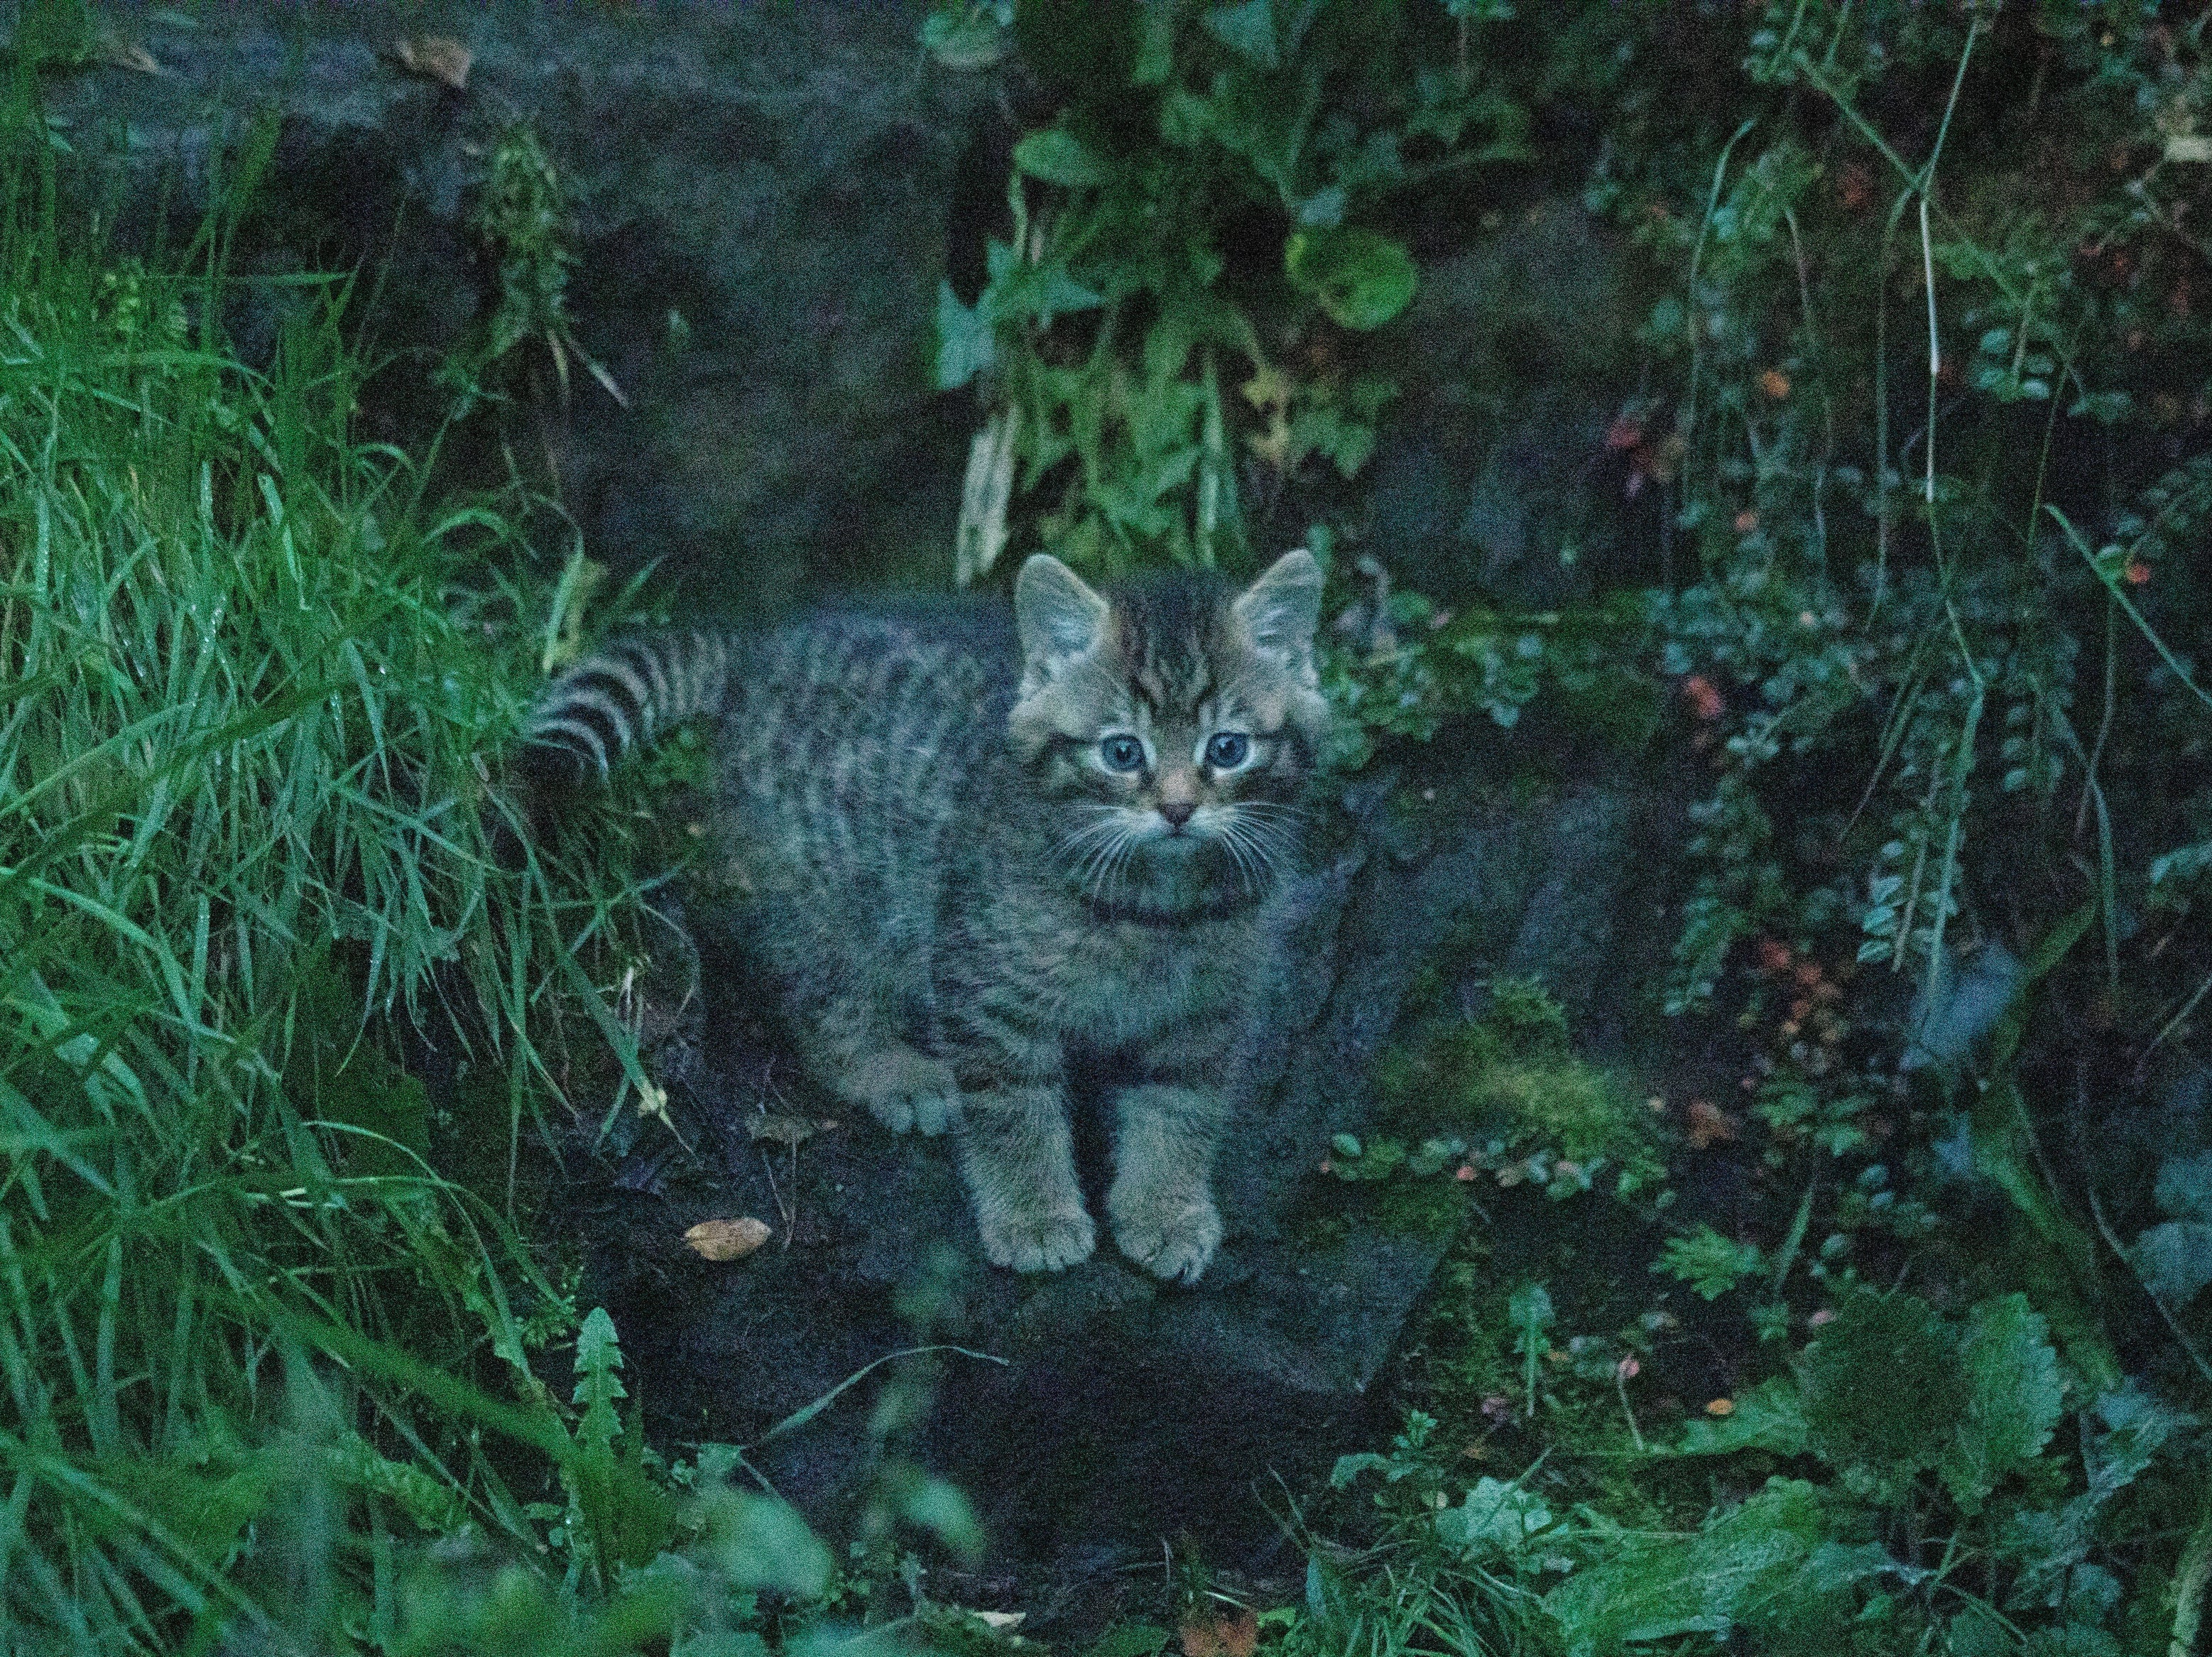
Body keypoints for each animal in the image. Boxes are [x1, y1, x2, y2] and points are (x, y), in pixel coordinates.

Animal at [530, 548, 1327, 1283]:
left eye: (1227, 748)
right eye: (1122, 751)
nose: (1177, 808)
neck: (1154, 906)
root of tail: (758, 656)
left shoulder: (1206, 1016)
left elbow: (1178, 1110)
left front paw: (1165, 1208)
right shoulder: (987, 993)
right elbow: (1011, 1109)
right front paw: (1034, 1215)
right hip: (826, 895)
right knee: (823, 999)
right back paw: (890, 1070)